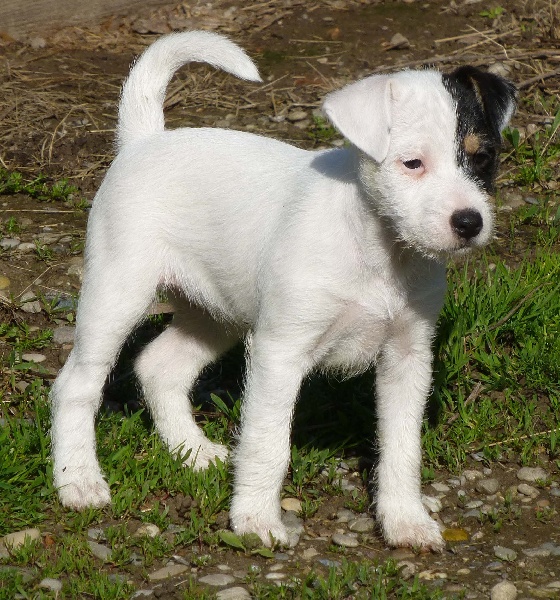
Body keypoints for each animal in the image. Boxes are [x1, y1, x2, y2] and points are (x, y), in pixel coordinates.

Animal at [51, 31, 516, 548]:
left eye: (482, 158)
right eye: (412, 163)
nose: (469, 223)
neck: (378, 251)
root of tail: (145, 140)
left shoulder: (408, 356)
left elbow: (402, 449)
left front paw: (405, 521)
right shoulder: (280, 351)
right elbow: (268, 443)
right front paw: (255, 520)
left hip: (215, 313)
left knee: (159, 367)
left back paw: (192, 450)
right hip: (117, 295)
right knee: (75, 386)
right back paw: (78, 480)